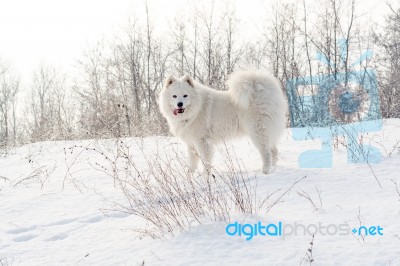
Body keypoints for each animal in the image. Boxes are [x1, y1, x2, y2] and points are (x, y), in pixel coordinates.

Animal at [159, 70, 288, 175]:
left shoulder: (202, 141)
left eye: (185, 95)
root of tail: (262, 89)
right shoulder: (191, 142)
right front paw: (189, 175)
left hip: (257, 131)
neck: (196, 109)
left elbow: (205, 160)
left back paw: (265, 170)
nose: (180, 104)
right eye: (174, 96)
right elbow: (192, 161)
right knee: (273, 149)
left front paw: (206, 176)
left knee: (266, 152)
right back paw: (273, 166)